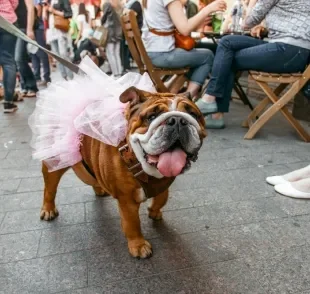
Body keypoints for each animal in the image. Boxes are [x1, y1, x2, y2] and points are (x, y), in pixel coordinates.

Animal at [40, 86, 206, 258]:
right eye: (151, 117)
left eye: (193, 115)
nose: (178, 120)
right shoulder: (127, 200)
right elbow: (132, 223)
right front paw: (139, 246)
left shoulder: (163, 183)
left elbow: (162, 198)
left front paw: (154, 211)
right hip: (55, 162)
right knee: (49, 189)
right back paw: (48, 209)